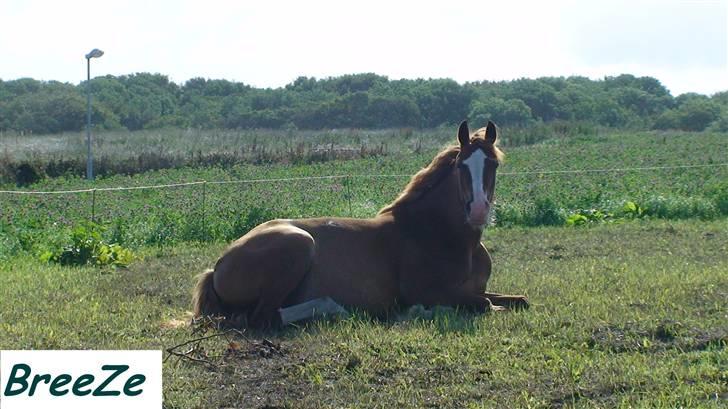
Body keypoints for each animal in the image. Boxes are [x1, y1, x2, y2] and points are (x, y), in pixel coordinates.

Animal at [193, 119, 528, 326]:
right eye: (461, 166)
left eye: (493, 164)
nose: (479, 211)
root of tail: (217, 266)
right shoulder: (430, 291)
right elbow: (483, 305)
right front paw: (417, 311)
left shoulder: (478, 289)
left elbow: (519, 299)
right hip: (298, 244)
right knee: (266, 316)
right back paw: (333, 309)